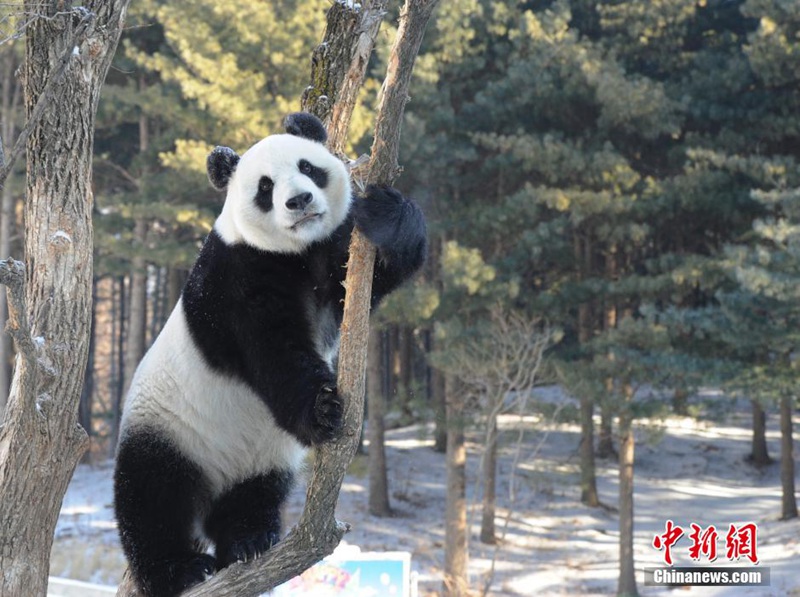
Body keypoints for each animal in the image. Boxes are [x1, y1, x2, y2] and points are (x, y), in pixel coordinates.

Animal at [113, 112, 427, 597]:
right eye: (265, 187)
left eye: (308, 167)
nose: (299, 200)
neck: (295, 251)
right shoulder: (236, 275)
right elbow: (273, 349)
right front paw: (322, 408)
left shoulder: (331, 254)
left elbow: (366, 278)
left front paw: (386, 215)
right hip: (169, 425)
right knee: (152, 496)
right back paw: (181, 569)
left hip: (260, 458)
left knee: (254, 496)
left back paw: (249, 542)